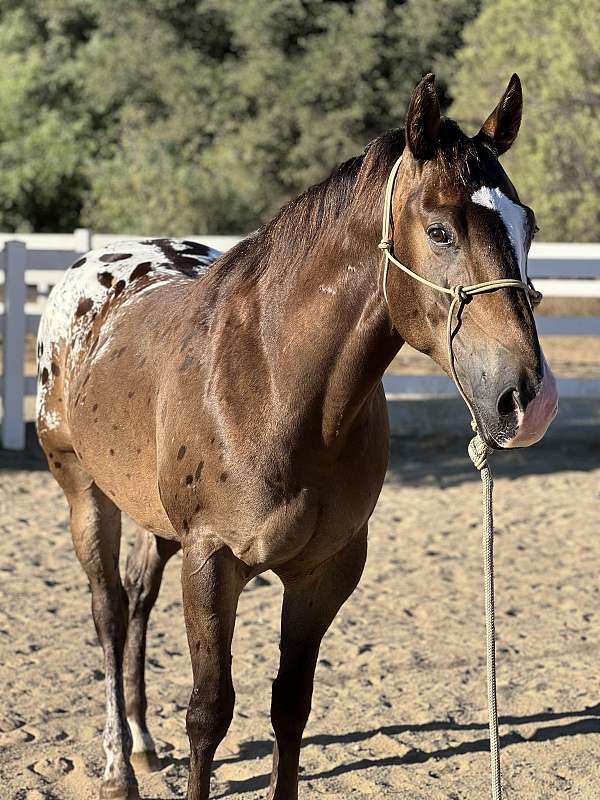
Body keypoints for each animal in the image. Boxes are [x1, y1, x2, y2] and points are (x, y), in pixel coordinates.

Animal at [35, 72, 556, 796]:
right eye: (440, 230)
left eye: (527, 224)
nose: (528, 399)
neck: (275, 385)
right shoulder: (211, 559)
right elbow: (209, 712)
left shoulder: (324, 571)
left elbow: (291, 706)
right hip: (83, 490)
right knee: (109, 612)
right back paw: (117, 767)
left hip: (152, 513)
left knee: (137, 597)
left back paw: (141, 745)